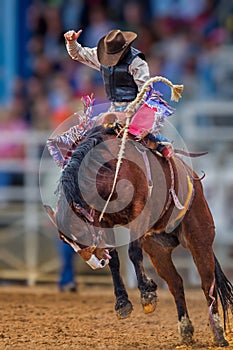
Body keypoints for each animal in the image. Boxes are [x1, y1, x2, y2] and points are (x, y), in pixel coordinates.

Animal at [44, 124, 232, 346]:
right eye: (66, 241)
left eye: (79, 232)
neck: (113, 169)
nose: (96, 264)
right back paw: (185, 330)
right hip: (158, 250)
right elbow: (115, 260)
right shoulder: (104, 222)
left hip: (199, 239)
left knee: (207, 283)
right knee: (176, 284)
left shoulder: (140, 213)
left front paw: (147, 293)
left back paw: (218, 333)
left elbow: (133, 252)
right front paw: (122, 302)